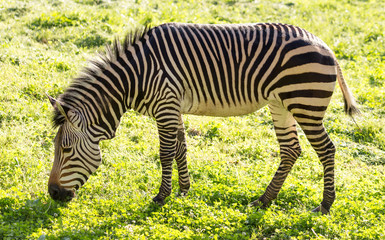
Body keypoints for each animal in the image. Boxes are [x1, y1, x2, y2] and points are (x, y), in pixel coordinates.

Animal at [46, 22, 358, 214]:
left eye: (66, 149)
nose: (53, 195)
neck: (134, 77)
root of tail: (327, 47)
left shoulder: (165, 105)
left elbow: (165, 152)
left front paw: (161, 196)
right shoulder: (173, 107)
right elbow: (181, 149)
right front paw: (184, 190)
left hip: (305, 104)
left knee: (326, 150)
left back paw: (325, 205)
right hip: (280, 105)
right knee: (291, 150)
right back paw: (264, 200)